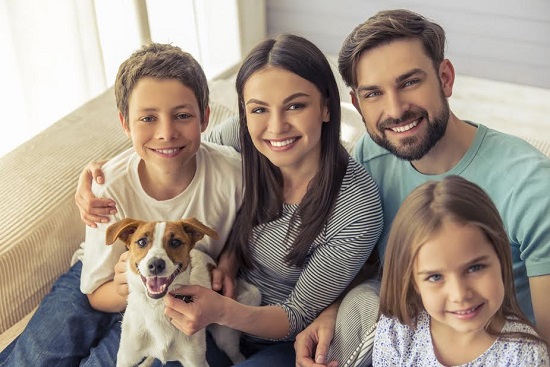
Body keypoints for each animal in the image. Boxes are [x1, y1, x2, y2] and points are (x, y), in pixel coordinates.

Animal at [107, 218, 264, 367]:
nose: (156, 264)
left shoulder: (196, 361)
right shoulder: (126, 359)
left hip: (225, 338)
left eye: (175, 242)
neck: (158, 306)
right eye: (141, 241)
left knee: (238, 356)